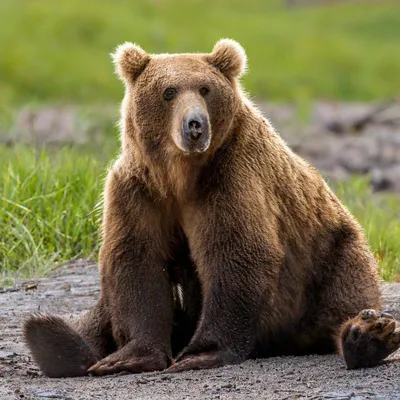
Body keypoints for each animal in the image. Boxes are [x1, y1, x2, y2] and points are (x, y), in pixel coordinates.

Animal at [22, 39, 400, 376]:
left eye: (204, 89)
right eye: (169, 91)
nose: (195, 125)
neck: (178, 176)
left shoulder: (231, 178)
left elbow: (237, 253)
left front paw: (199, 353)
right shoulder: (137, 190)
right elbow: (136, 259)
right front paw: (129, 357)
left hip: (331, 257)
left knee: (343, 302)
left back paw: (366, 335)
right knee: (97, 311)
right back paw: (51, 338)